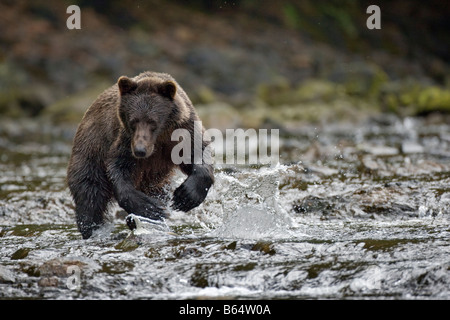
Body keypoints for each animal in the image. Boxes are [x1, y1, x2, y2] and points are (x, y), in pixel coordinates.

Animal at [66, 71, 214, 239]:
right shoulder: (125, 142)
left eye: (153, 122)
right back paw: (94, 230)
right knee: (90, 194)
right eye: (133, 121)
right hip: (90, 153)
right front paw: (150, 209)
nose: (140, 150)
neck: (160, 139)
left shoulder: (183, 131)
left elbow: (198, 153)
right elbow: (118, 168)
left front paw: (185, 196)